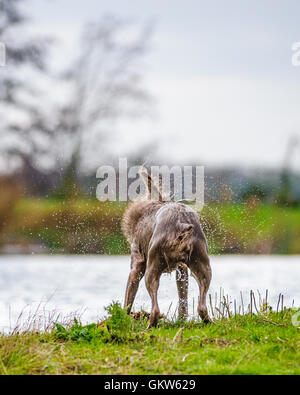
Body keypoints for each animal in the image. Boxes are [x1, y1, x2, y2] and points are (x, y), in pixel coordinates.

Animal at [121, 169, 211, 330]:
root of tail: (181, 224)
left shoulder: (137, 264)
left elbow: (128, 297)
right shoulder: (182, 267)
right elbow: (183, 296)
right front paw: (181, 319)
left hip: (152, 268)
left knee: (155, 309)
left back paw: (149, 327)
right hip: (202, 264)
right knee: (202, 306)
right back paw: (209, 322)